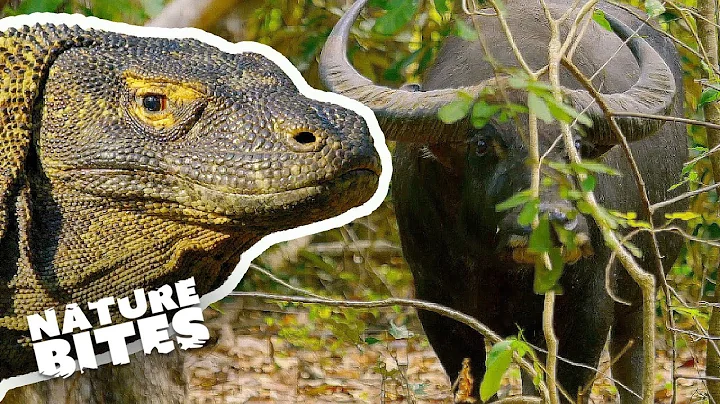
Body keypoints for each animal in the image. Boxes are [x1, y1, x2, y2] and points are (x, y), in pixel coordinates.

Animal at [319, 0, 687, 402]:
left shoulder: (589, 307)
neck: (497, 263)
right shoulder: (438, 305)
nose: (554, 221)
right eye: (482, 144)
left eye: (576, 144)